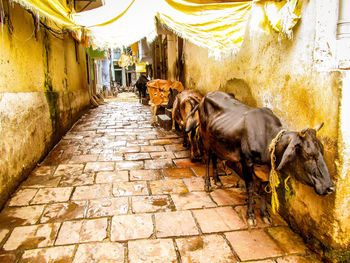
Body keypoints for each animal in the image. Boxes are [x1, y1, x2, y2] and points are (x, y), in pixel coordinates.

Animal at [198, 91, 334, 227]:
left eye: (322, 151)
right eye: (309, 154)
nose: (330, 187)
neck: (267, 139)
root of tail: (208, 95)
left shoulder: (266, 168)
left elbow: (263, 189)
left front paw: (265, 214)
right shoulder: (246, 162)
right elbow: (250, 188)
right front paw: (251, 215)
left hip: (217, 140)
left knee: (215, 156)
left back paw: (217, 179)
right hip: (205, 138)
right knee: (208, 158)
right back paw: (208, 184)